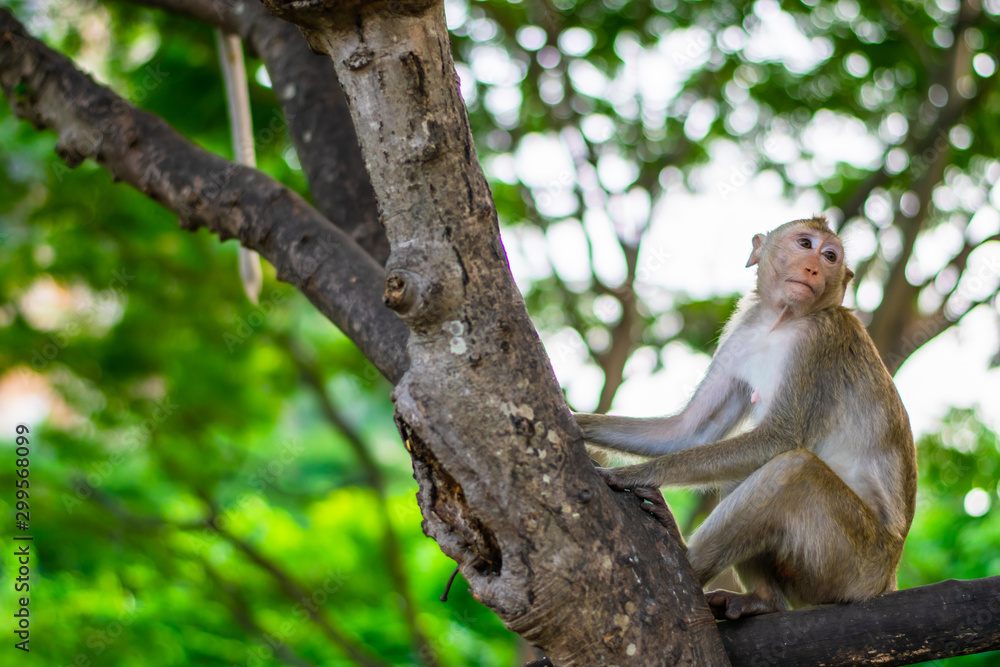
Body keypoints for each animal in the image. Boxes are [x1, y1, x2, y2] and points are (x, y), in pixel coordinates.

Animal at [576, 216, 917, 620]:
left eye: (830, 256)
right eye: (806, 244)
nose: (813, 268)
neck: (781, 322)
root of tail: (889, 576)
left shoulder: (819, 339)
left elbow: (779, 438)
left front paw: (633, 474)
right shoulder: (743, 332)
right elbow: (690, 432)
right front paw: (577, 422)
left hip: (855, 564)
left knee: (791, 471)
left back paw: (687, 561)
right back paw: (764, 599)